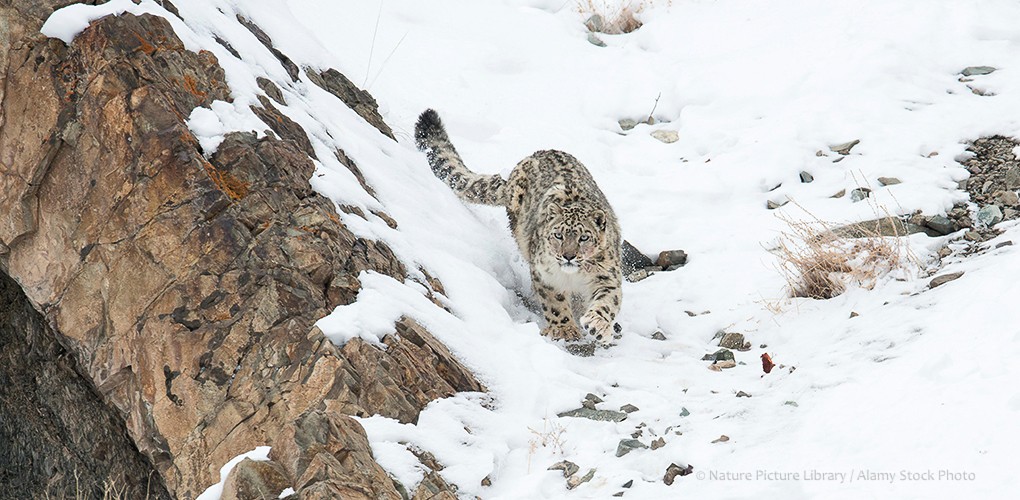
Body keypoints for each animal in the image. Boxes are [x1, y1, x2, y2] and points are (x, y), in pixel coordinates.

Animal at [414, 109, 622, 344]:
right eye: (558, 235)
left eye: (584, 237)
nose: (568, 256)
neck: (572, 277)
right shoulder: (544, 274)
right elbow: (554, 302)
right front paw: (564, 329)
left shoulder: (607, 276)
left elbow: (607, 301)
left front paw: (598, 325)